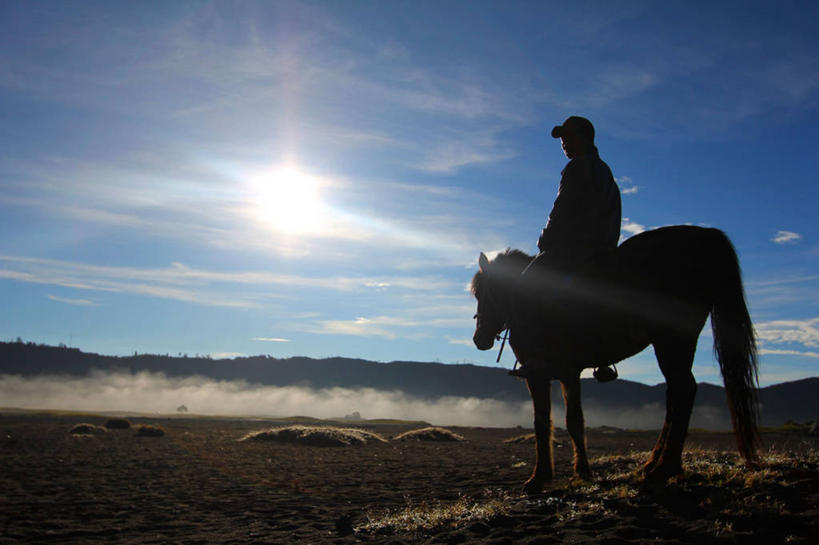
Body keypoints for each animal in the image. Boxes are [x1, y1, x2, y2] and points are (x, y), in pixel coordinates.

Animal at [474, 223, 764, 490]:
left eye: (484, 293)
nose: (480, 339)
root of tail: (706, 235)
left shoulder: (543, 373)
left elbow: (550, 421)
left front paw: (545, 476)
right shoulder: (564, 373)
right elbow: (566, 421)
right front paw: (574, 472)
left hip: (672, 341)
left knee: (683, 391)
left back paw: (665, 469)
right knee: (675, 394)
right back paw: (654, 464)